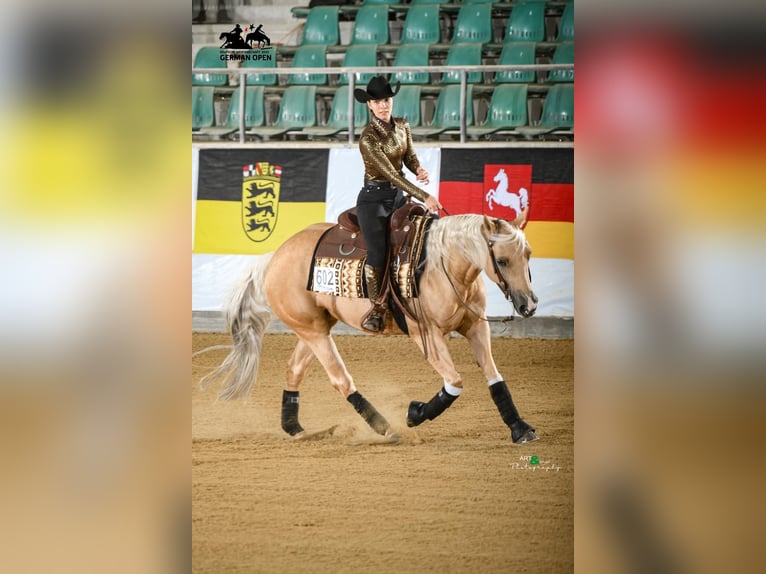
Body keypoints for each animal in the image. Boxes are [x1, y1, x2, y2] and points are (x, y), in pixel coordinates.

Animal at [201, 215, 544, 446]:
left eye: (528, 255)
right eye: (502, 259)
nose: (529, 305)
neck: (441, 265)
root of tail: (274, 256)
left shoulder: (474, 326)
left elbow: (495, 377)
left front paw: (520, 428)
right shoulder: (426, 335)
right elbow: (455, 382)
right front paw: (415, 413)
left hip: (316, 327)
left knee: (294, 368)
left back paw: (295, 428)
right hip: (313, 332)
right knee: (341, 380)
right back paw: (385, 428)